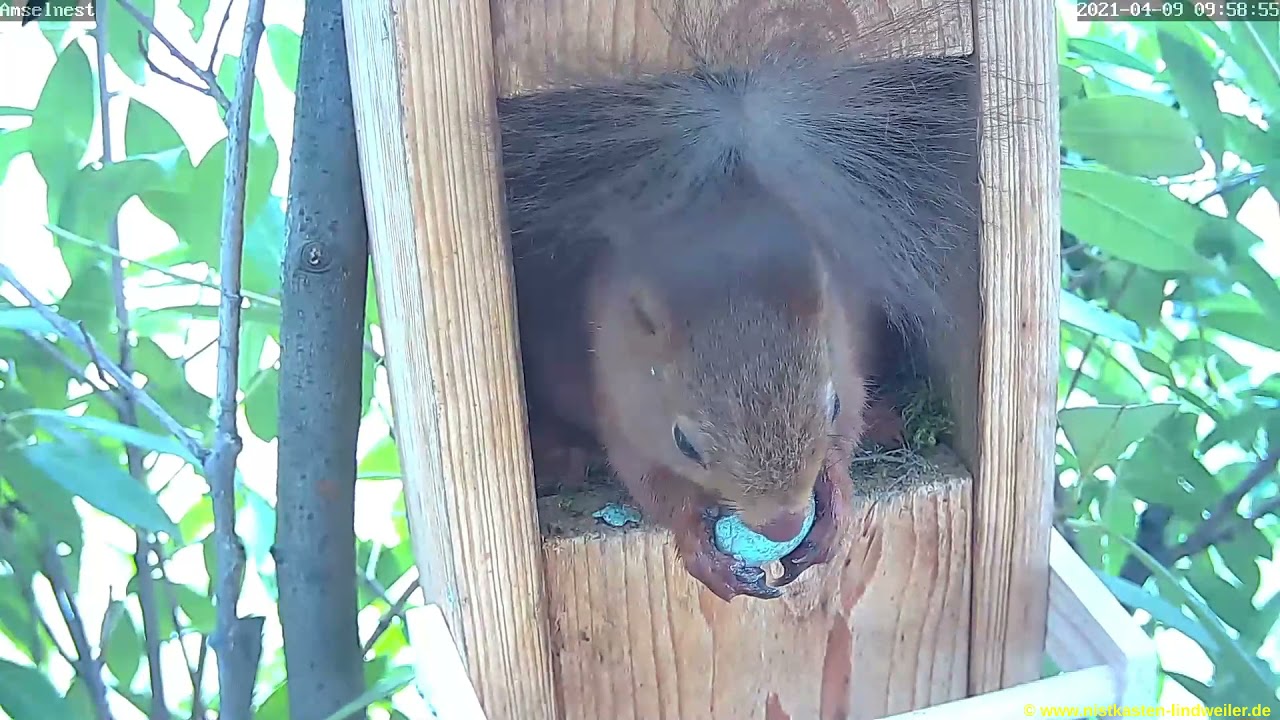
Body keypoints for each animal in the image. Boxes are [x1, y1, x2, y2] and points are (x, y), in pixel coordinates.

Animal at [496, 2, 976, 601]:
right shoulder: (622, 403)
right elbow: (651, 482)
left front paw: (836, 497)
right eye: (685, 442)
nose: (784, 526)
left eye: (831, 403)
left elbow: (846, 433)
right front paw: (698, 545)